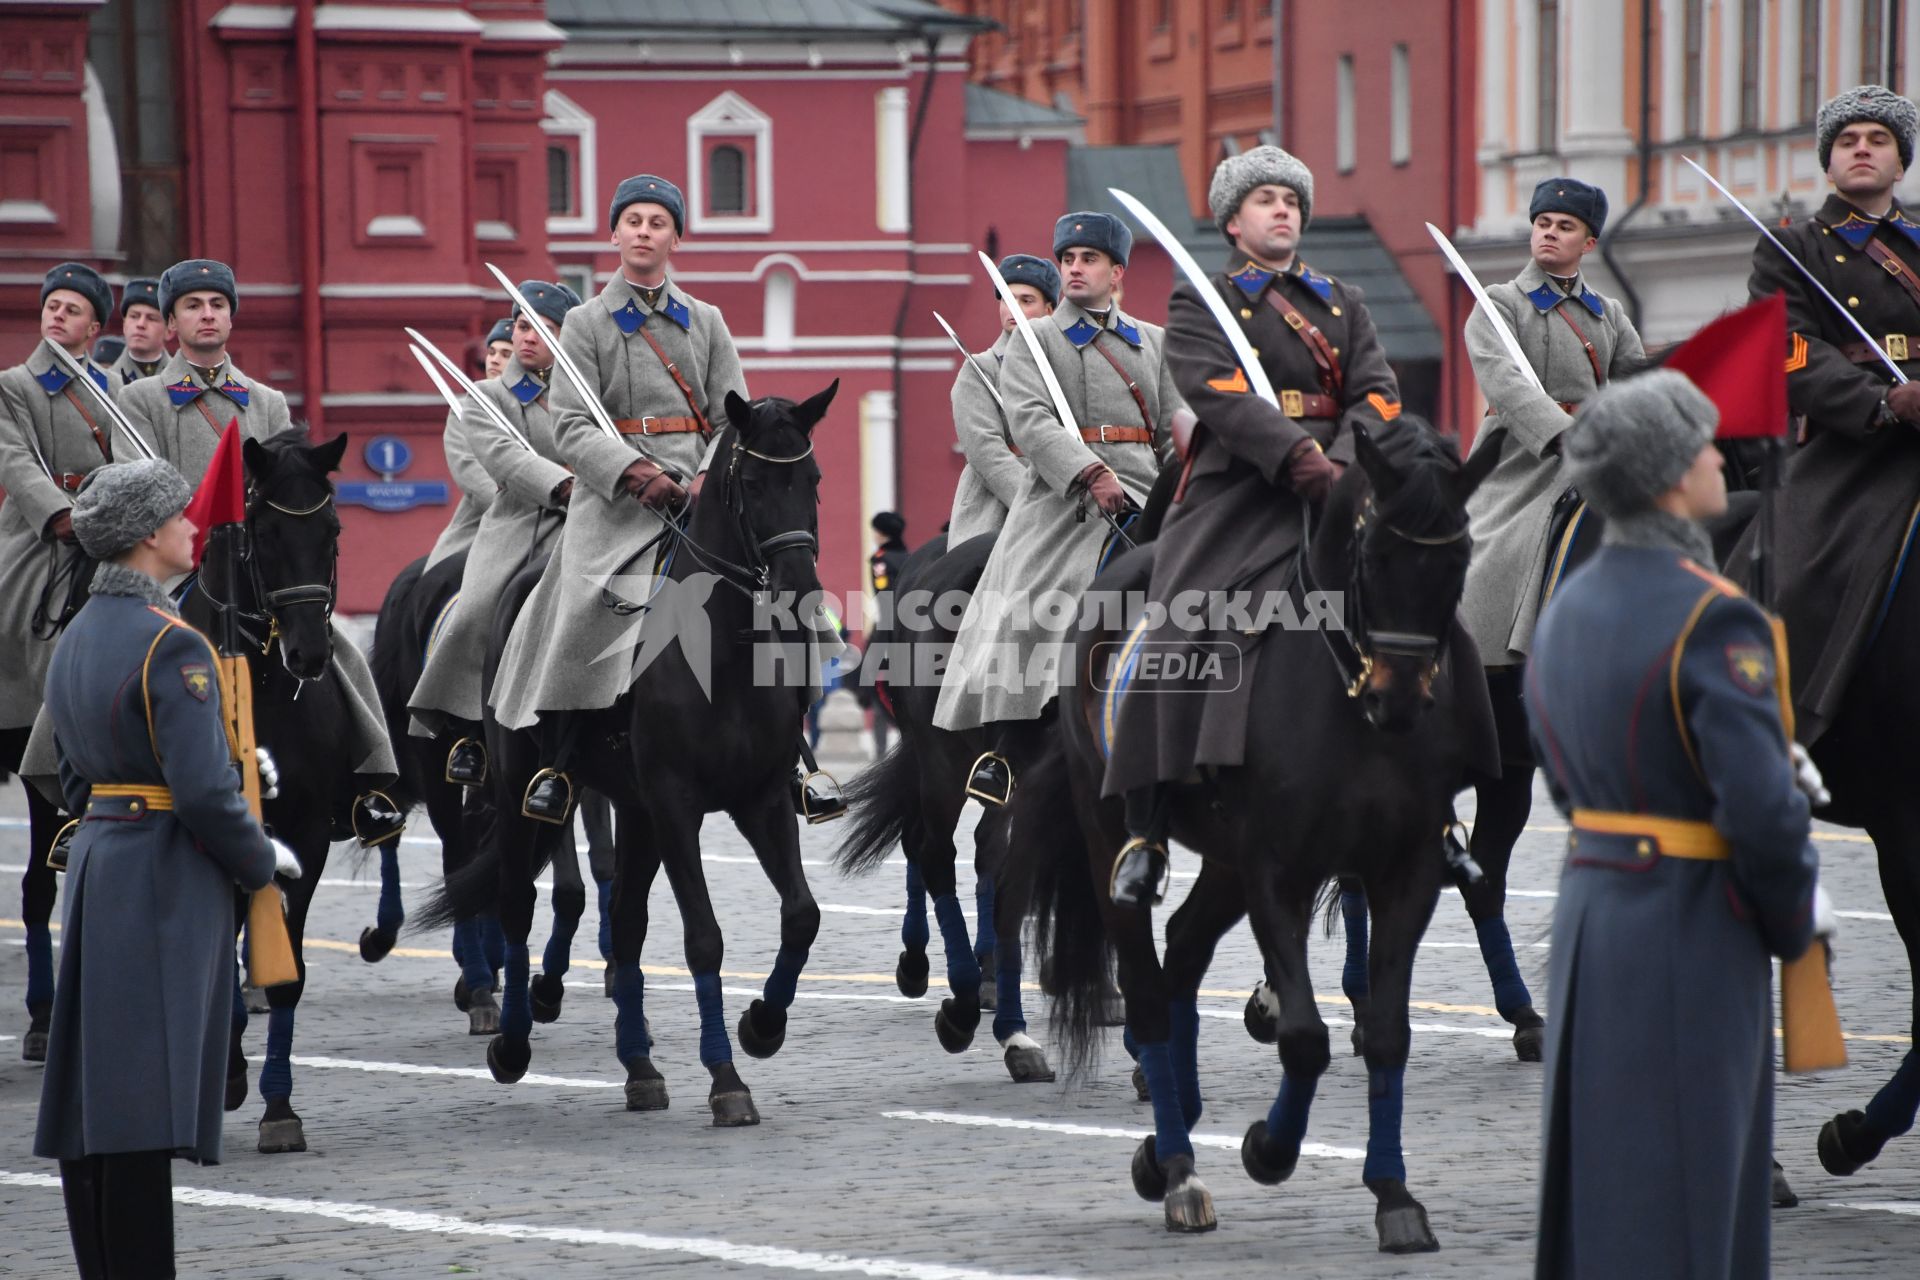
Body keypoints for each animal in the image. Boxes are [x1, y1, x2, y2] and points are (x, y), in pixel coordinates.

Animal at [432, 385, 837, 1128]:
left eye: (814, 479)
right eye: (755, 484)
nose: (800, 590)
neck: (721, 652)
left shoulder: (760, 799)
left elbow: (802, 914)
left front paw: (762, 1025)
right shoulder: (678, 804)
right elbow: (703, 937)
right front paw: (726, 1079)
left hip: (637, 811)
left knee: (626, 927)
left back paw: (639, 1066)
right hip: (523, 792)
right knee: (516, 906)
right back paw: (512, 1042)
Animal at [1029, 422, 1505, 1251]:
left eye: (1458, 561)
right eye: (1373, 554)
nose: (1398, 700)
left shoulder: (1406, 873)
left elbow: (1387, 1032)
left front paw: (1395, 1196)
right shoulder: (1278, 874)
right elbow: (1306, 1038)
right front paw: (1268, 1148)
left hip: (1225, 865)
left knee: (1184, 952)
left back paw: (1168, 1140)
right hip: (1108, 831)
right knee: (1148, 988)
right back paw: (1180, 1172)